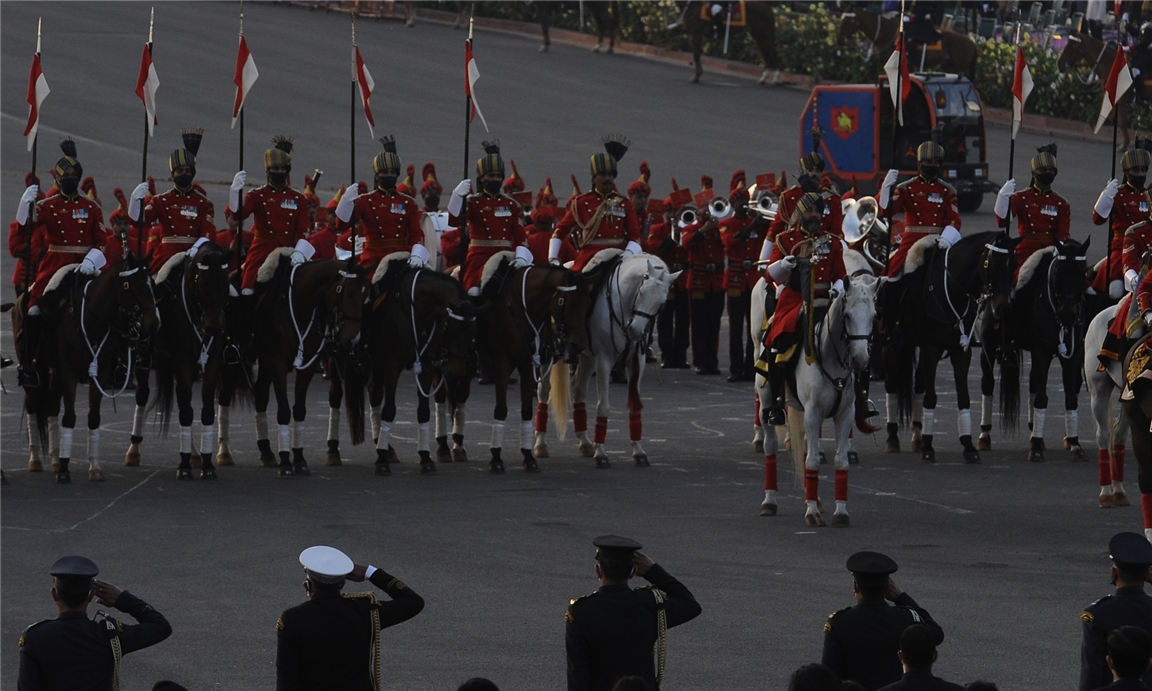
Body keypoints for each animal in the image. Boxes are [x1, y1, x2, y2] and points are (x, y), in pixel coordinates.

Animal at [532, 251, 677, 467]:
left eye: (661, 303)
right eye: (642, 293)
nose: (636, 331)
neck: (622, 303)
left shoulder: (637, 361)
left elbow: (635, 405)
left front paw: (638, 451)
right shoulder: (605, 360)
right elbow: (603, 406)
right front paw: (601, 454)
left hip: (587, 357)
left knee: (578, 390)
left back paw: (585, 442)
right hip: (548, 354)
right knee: (544, 391)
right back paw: (540, 444)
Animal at [834, 10, 976, 78]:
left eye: (846, 22)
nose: (839, 39)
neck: (887, 34)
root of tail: (971, 42)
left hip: (961, 68)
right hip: (949, 67)